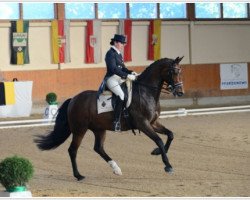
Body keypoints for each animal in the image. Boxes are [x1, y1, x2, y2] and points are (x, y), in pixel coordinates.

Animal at [34, 56, 185, 181]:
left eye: (180, 71)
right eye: (173, 72)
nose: (180, 92)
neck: (146, 92)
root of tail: (73, 99)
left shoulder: (153, 123)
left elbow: (170, 135)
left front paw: (157, 152)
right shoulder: (143, 124)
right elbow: (159, 140)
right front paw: (168, 166)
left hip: (99, 129)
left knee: (98, 148)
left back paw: (116, 169)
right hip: (79, 130)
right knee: (73, 150)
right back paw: (79, 175)